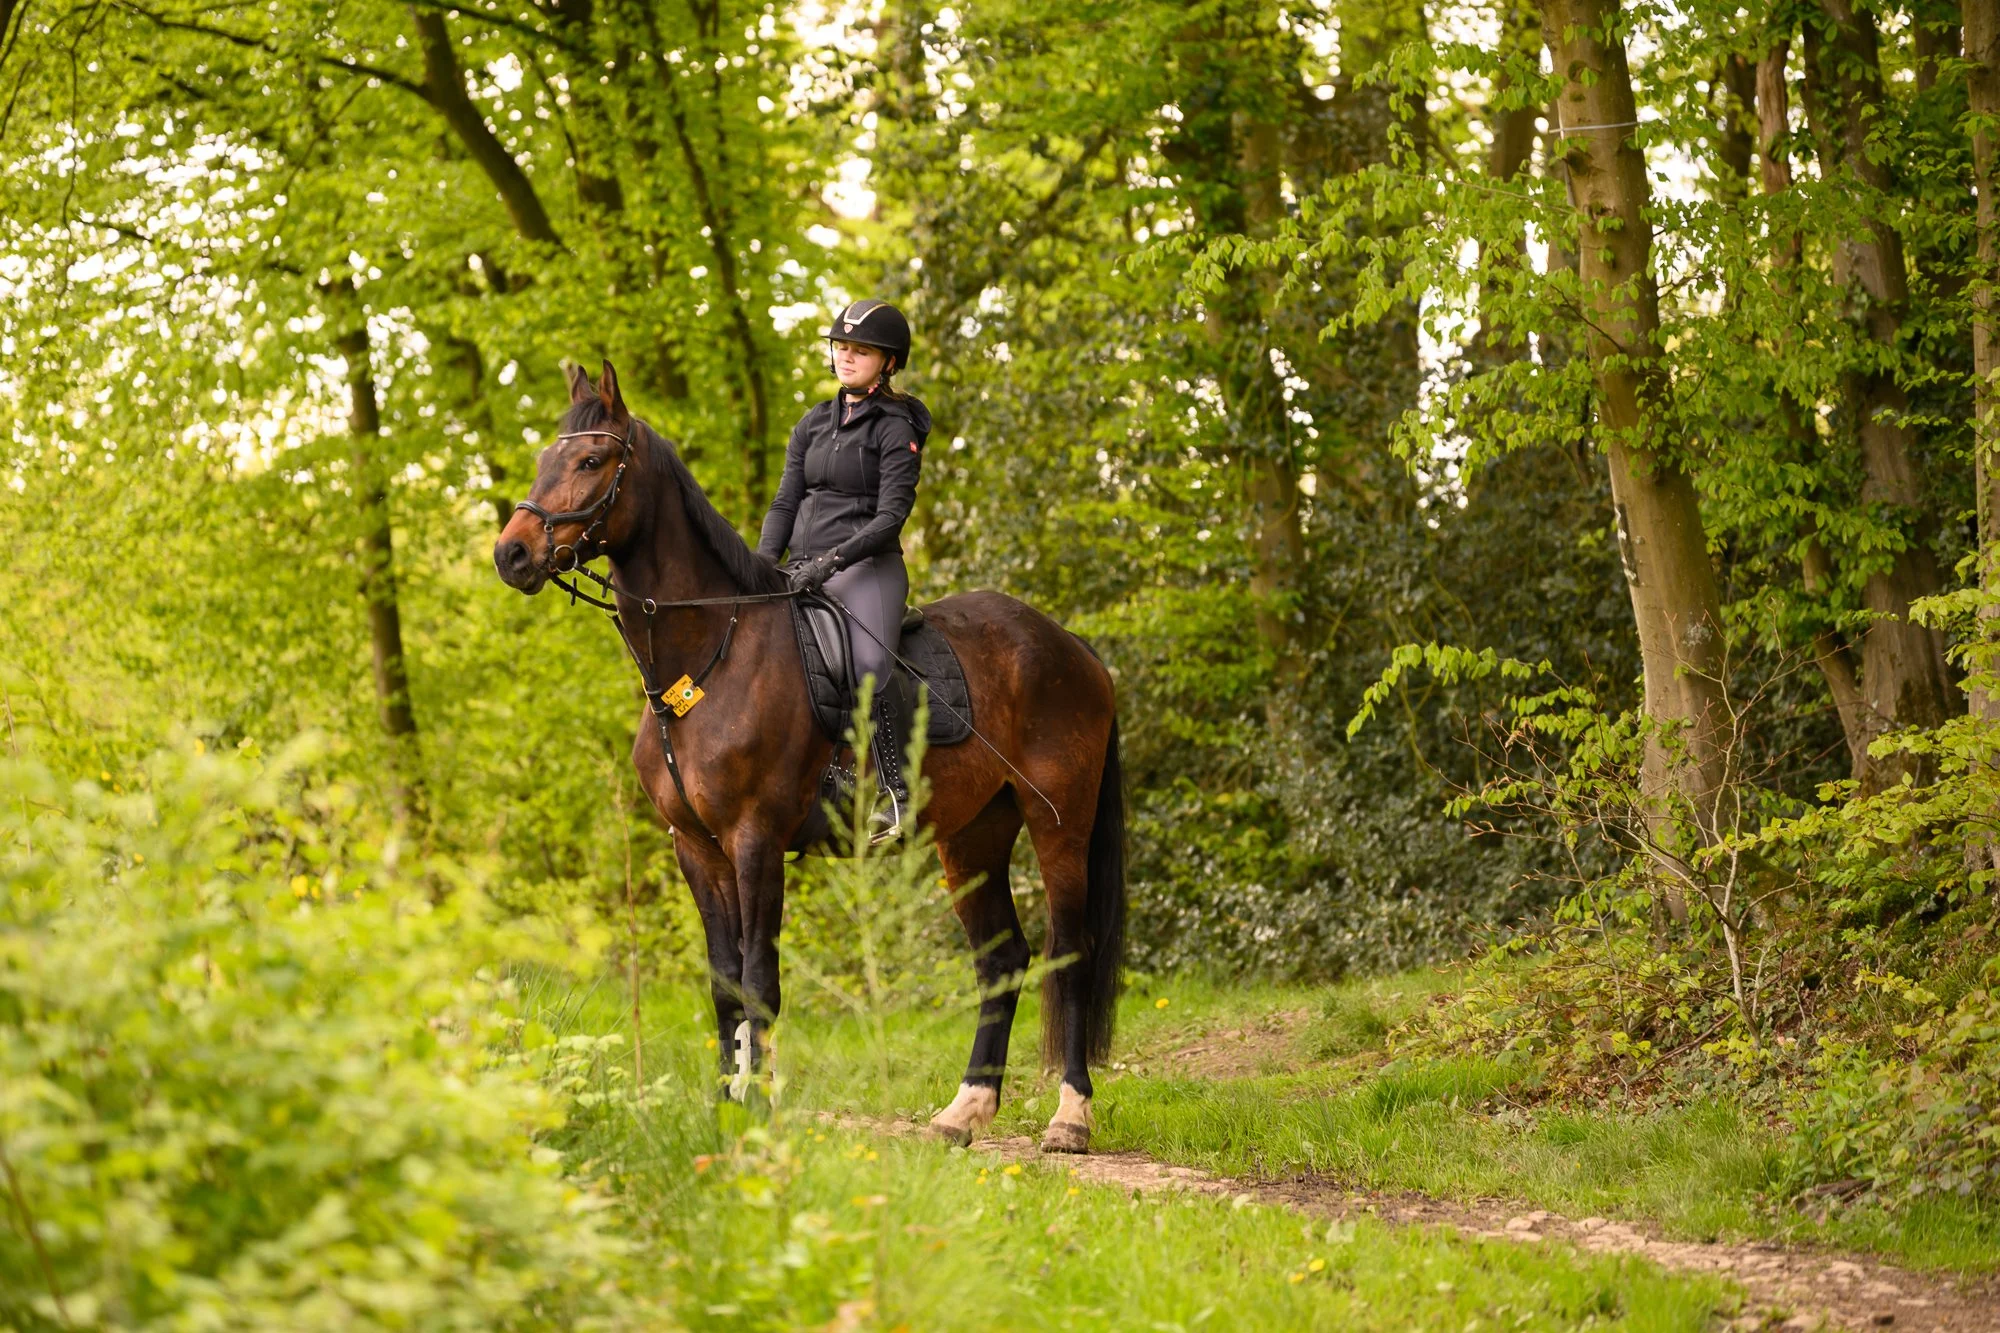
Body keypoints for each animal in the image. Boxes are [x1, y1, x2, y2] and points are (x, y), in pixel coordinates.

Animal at [492, 361, 1126, 1153]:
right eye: (545, 457)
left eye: (590, 461)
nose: (511, 554)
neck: (710, 654)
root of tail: (1073, 648)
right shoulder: (695, 848)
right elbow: (725, 984)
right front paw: (726, 1113)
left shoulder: (756, 839)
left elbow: (760, 980)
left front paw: (760, 1115)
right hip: (973, 833)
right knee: (1002, 959)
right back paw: (965, 1109)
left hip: (1059, 823)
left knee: (1071, 952)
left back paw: (1070, 1116)